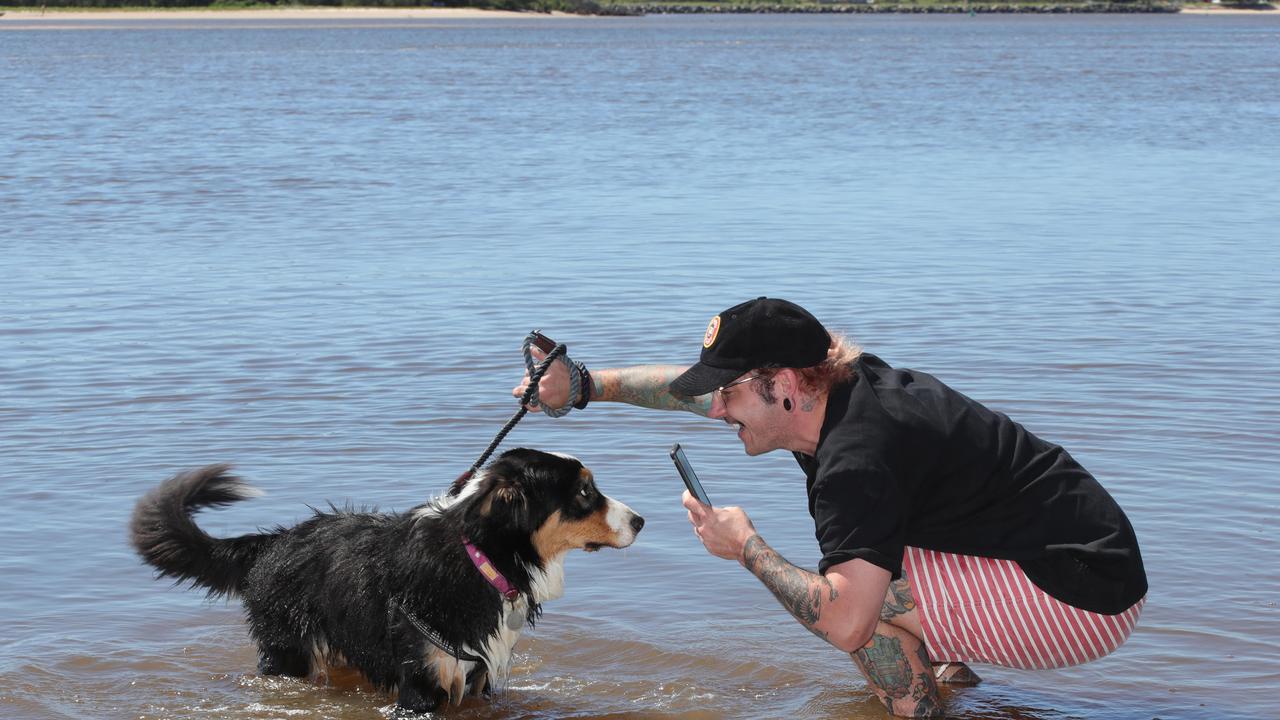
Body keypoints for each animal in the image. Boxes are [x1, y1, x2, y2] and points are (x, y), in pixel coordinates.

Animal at [132, 448, 640, 712]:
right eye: (584, 491)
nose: (640, 521)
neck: (482, 557)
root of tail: (274, 540)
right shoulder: (422, 682)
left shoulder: (478, 677)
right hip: (287, 653)